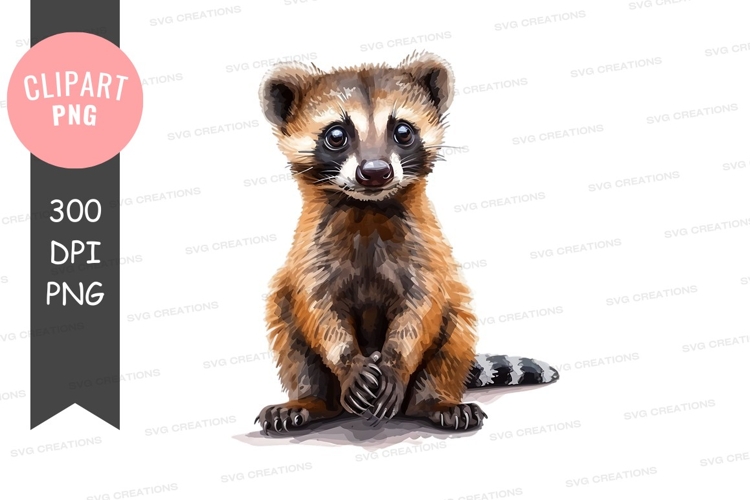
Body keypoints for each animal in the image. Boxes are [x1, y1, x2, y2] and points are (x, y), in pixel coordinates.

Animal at [254, 51, 559, 434]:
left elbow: (421, 309)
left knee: (452, 336)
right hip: (284, 304)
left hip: (457, 309)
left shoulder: (426, 254)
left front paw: (395, 364)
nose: (375, 171)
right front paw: (349, 363)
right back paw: (310, 402)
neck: (367, 209)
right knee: (288, 327)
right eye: (336, 135)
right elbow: (318, 311)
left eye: (402, 131)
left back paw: (434, 402)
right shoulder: (311, 256)